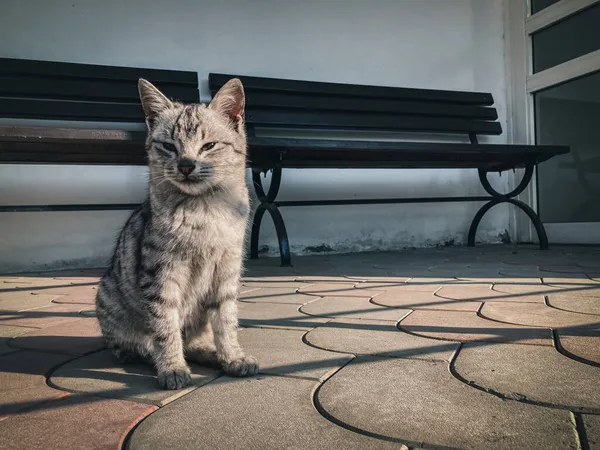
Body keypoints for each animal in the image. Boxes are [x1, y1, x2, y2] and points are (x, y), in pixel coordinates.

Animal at [95, 75, 256, 388]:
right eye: (169, 146)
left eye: (209, 145)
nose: (186, 165)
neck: (205, 209)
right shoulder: (160, 274)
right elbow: (165, 326)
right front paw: (172, 367)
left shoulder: (227, 269)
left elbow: (226, 319)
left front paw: (232, 356)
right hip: (109, 299)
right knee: (137, 347)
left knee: (193, 340)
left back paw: (210, 353)